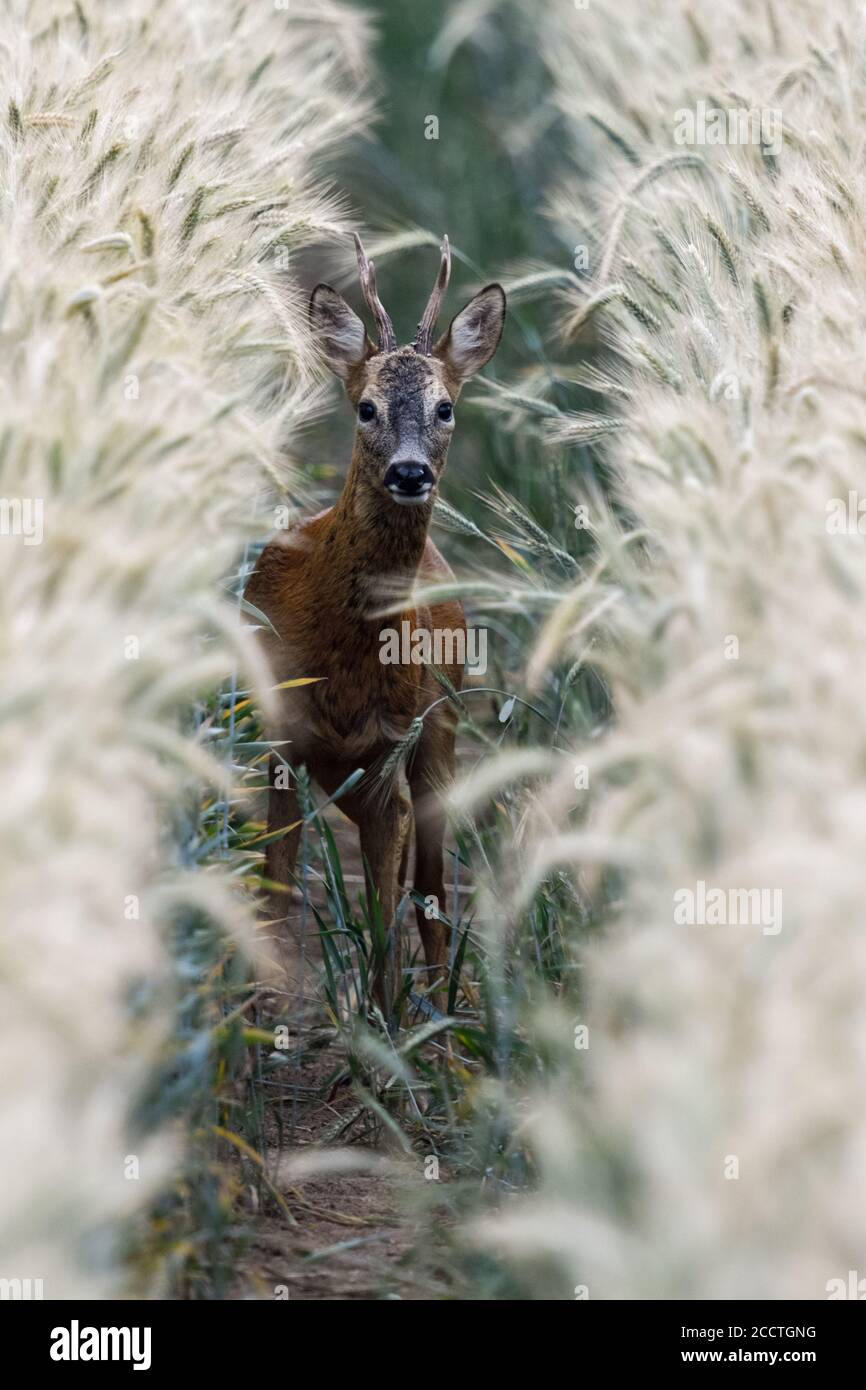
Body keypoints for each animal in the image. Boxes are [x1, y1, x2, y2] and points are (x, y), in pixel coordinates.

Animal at [246, 236, 508, 1023]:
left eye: (446, 406)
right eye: (365, 406)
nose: (410, 472)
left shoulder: (392, 747)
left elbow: (389, 906)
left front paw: (390, 1027)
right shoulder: (281, 736)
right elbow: (273, 889)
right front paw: (255, 1019)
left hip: (441, 732)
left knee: (427, 891)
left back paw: (438, 1019)